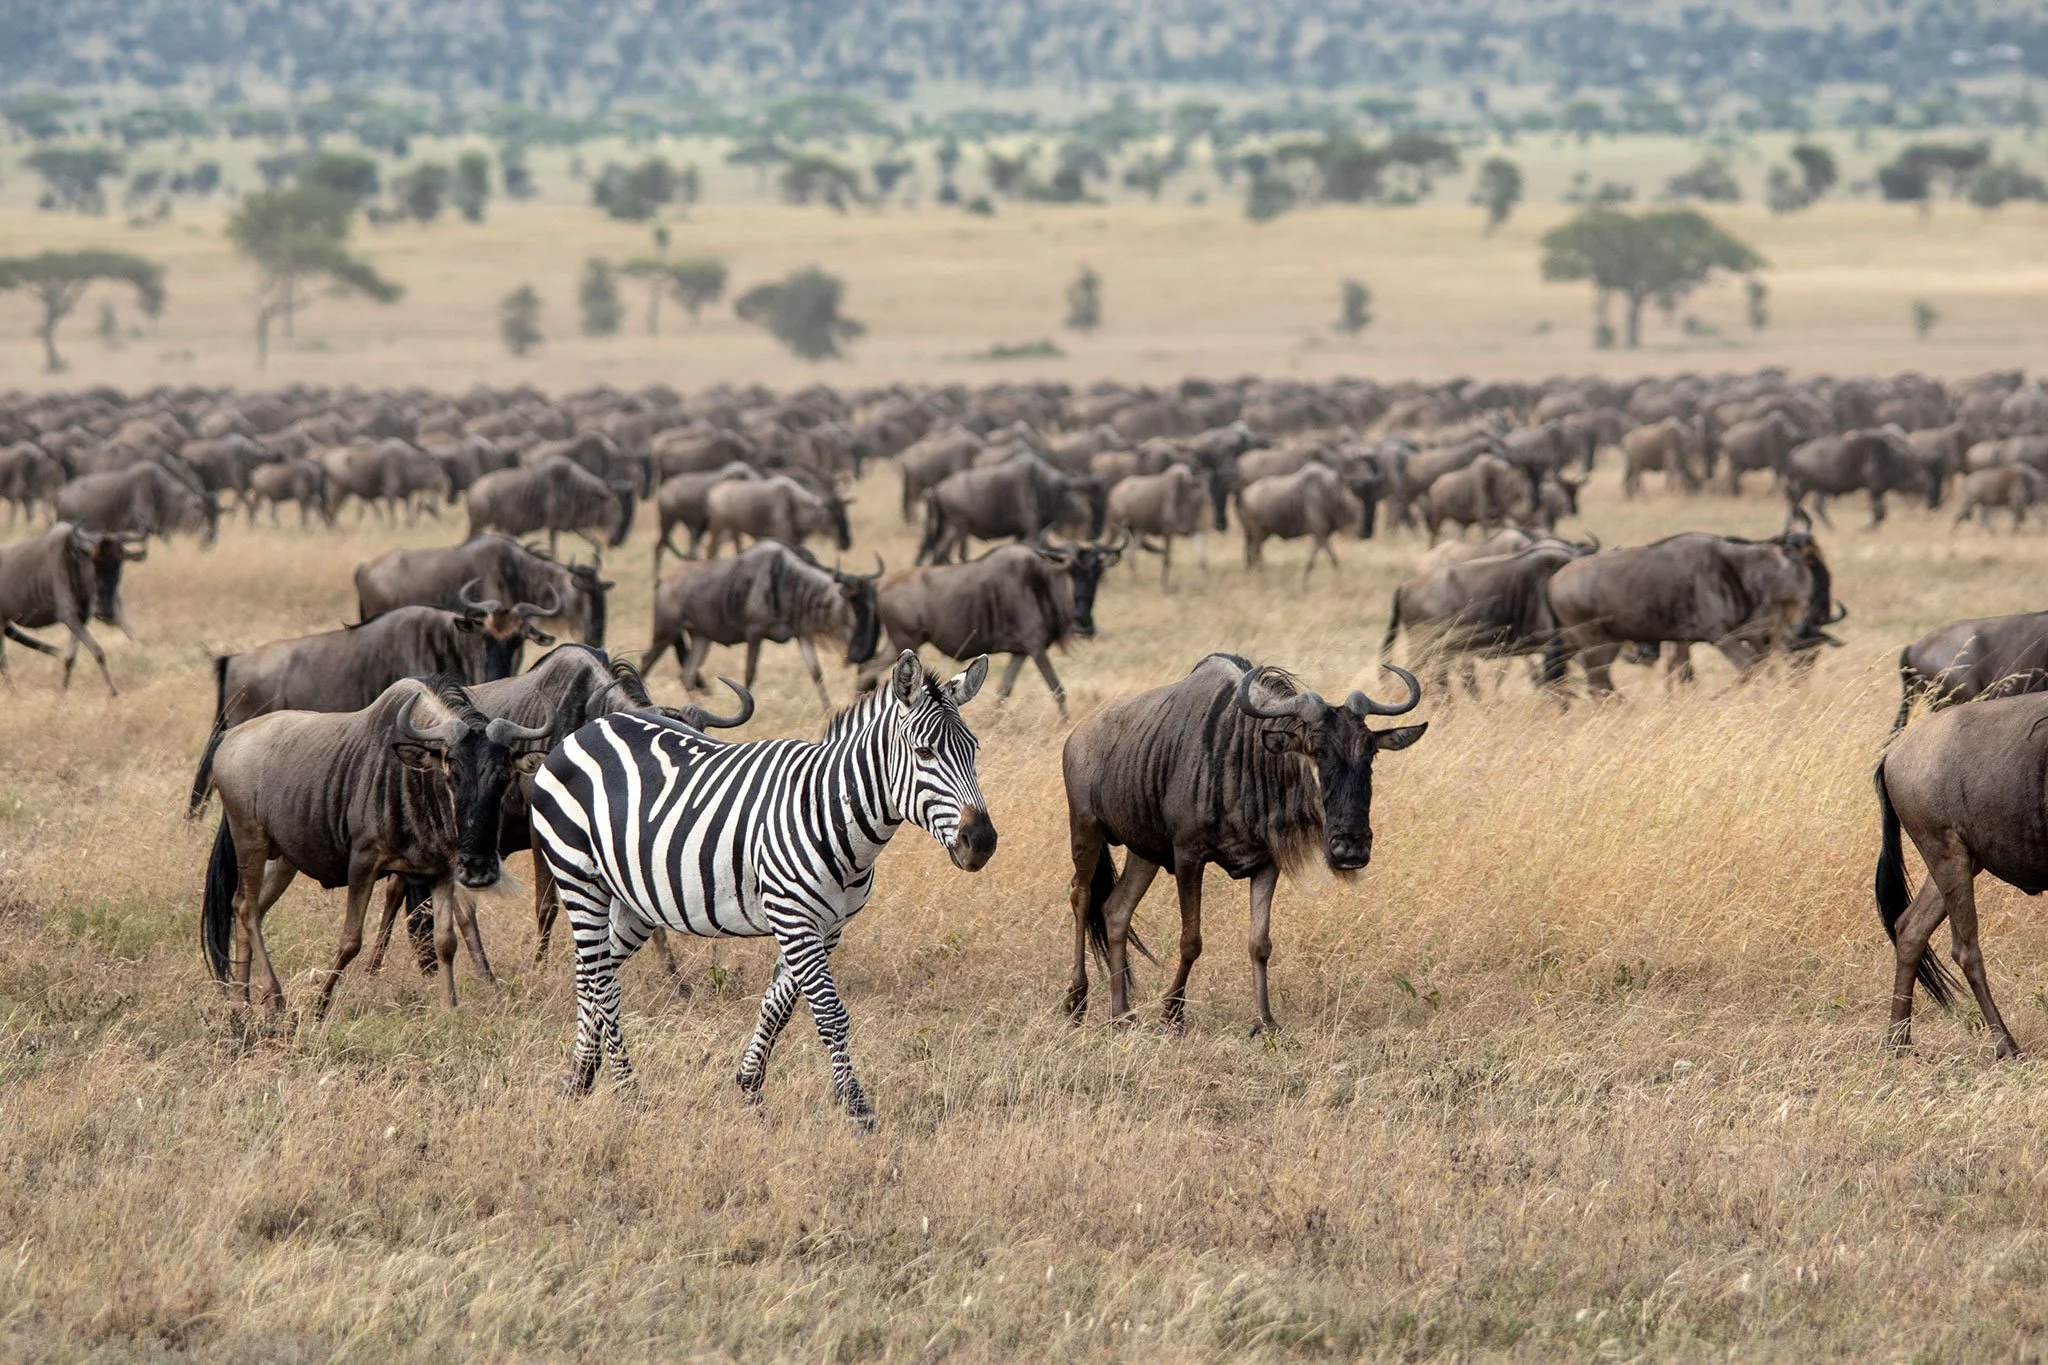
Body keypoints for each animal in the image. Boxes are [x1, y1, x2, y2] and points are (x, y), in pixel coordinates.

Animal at [530, 649, 998, 1126]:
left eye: (974, 750)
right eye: (924, 752)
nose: (981, 842)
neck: (829, 810)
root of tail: (587, 729)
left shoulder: (827, 926)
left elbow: (779, 1006)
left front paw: (750, 1086)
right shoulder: (794, 917)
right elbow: (830, 1013)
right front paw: (856, 1108)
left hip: (634, 900)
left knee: (595, 976)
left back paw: (581, 1078)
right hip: (578, 877)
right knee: (600, 982)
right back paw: (627, 1091)